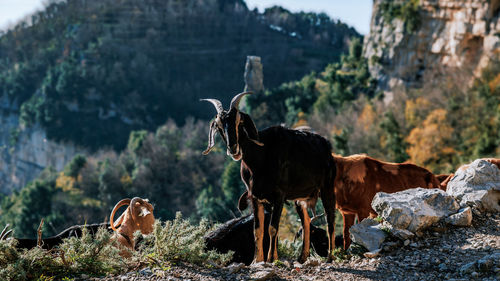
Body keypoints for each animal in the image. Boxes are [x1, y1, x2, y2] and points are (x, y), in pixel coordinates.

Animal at [200, 92, 336, 262]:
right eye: (218, 126)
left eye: (239, 122)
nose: (233, 148)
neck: (260, 157)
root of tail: (326, 145)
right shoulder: (255, 196)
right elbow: (258, 231)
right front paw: (257, 260)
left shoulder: (279, 195)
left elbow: (272, 228)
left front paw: (272, 258)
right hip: (299, 198)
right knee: (306, 221)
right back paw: (302, 257)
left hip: (327, 187)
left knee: (330, 219)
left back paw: (331, 256)